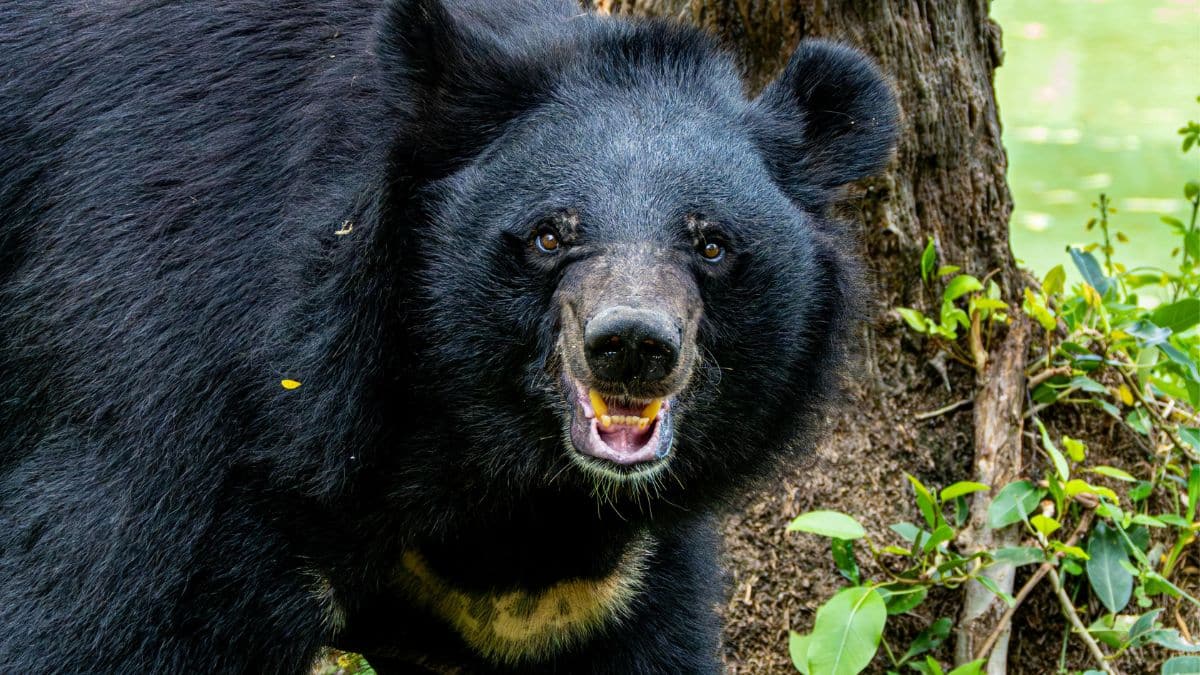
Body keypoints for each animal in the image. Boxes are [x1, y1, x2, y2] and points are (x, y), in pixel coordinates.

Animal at [0, 0, 897, 672]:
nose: (633, 345)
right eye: (549, 235)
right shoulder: (182, 401)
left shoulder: (605, 582)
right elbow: (95, 611)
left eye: (711, 245)